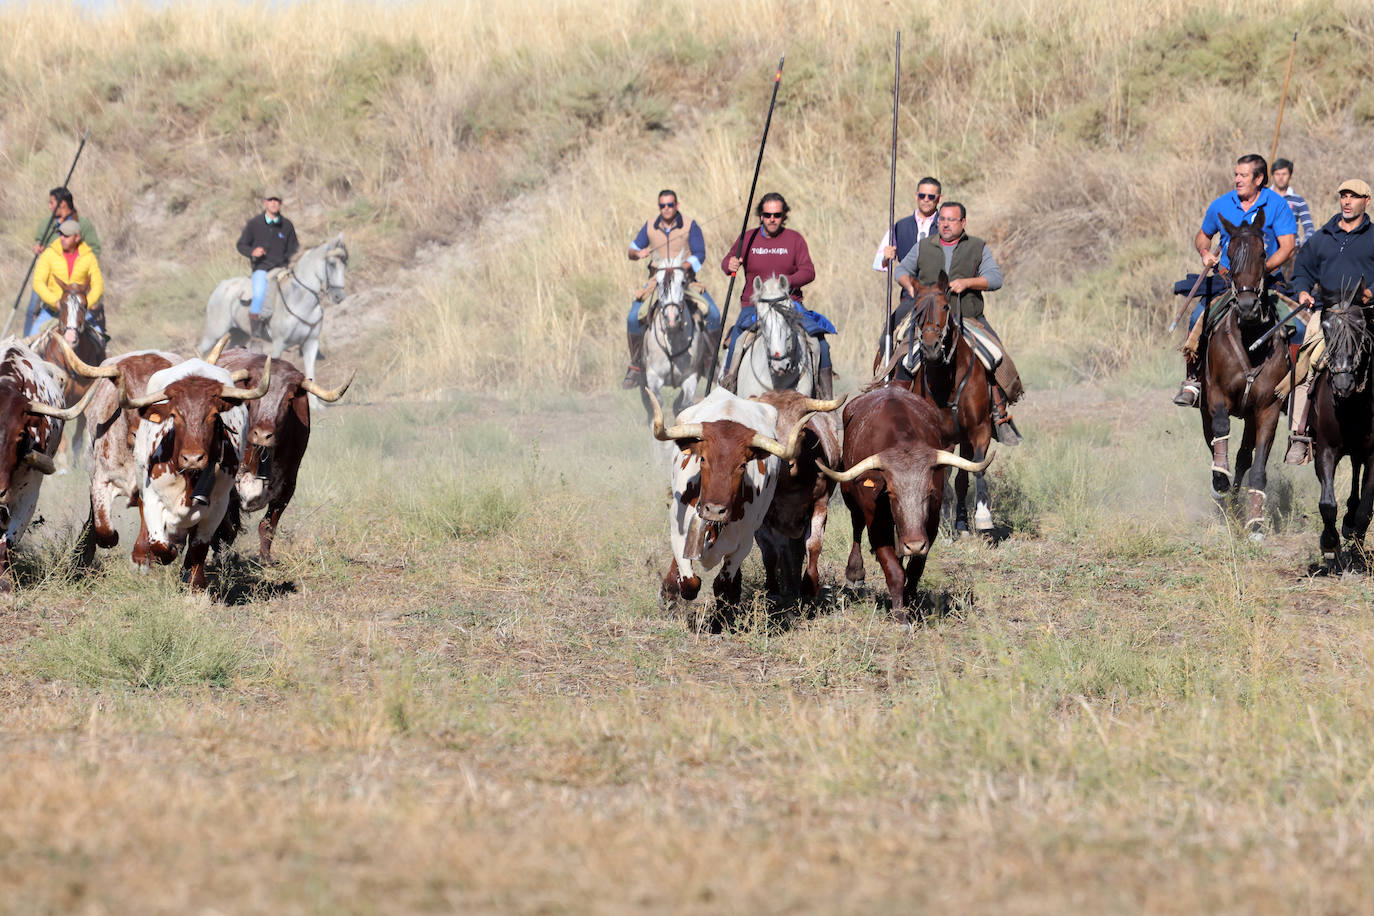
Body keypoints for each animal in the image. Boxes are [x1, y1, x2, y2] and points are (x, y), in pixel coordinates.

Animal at [199, 236, 348, 384]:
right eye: (332, 264)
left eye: (345, 263)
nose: (339, 296)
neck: (300, 302)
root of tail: (221, 286)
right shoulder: (278, 344)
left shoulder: (311, 344)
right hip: (214, 333)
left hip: (239, 334)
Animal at [640, 251, 714, 422]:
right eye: (658, 283)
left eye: (683, 282)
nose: (672, 317)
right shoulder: (653, 377)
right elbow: (657, 404)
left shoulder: (690, 377)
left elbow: (685, 405)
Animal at [879, 280, 1000, 538]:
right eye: (916, 309)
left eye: (946, 306)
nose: (931, 348)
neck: (949, 382)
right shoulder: (941, 439)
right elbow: (941, 475)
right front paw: (942, 525)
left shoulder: (980, 429)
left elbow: (977, 468)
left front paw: (983, 517)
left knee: (963, 476)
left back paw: (962, 524)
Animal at [1198, 207, 1291, 532]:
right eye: (1228, 251)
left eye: (1263, 252)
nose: (1249, 306)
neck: (1251, 341)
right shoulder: (1215, 396)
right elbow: (1220, 432)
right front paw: (1219, 483)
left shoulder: (1267, 409)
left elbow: (1257, 465)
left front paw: (1256, 524)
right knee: (1215, 442)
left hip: (1250, 415)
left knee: (1242, 457)